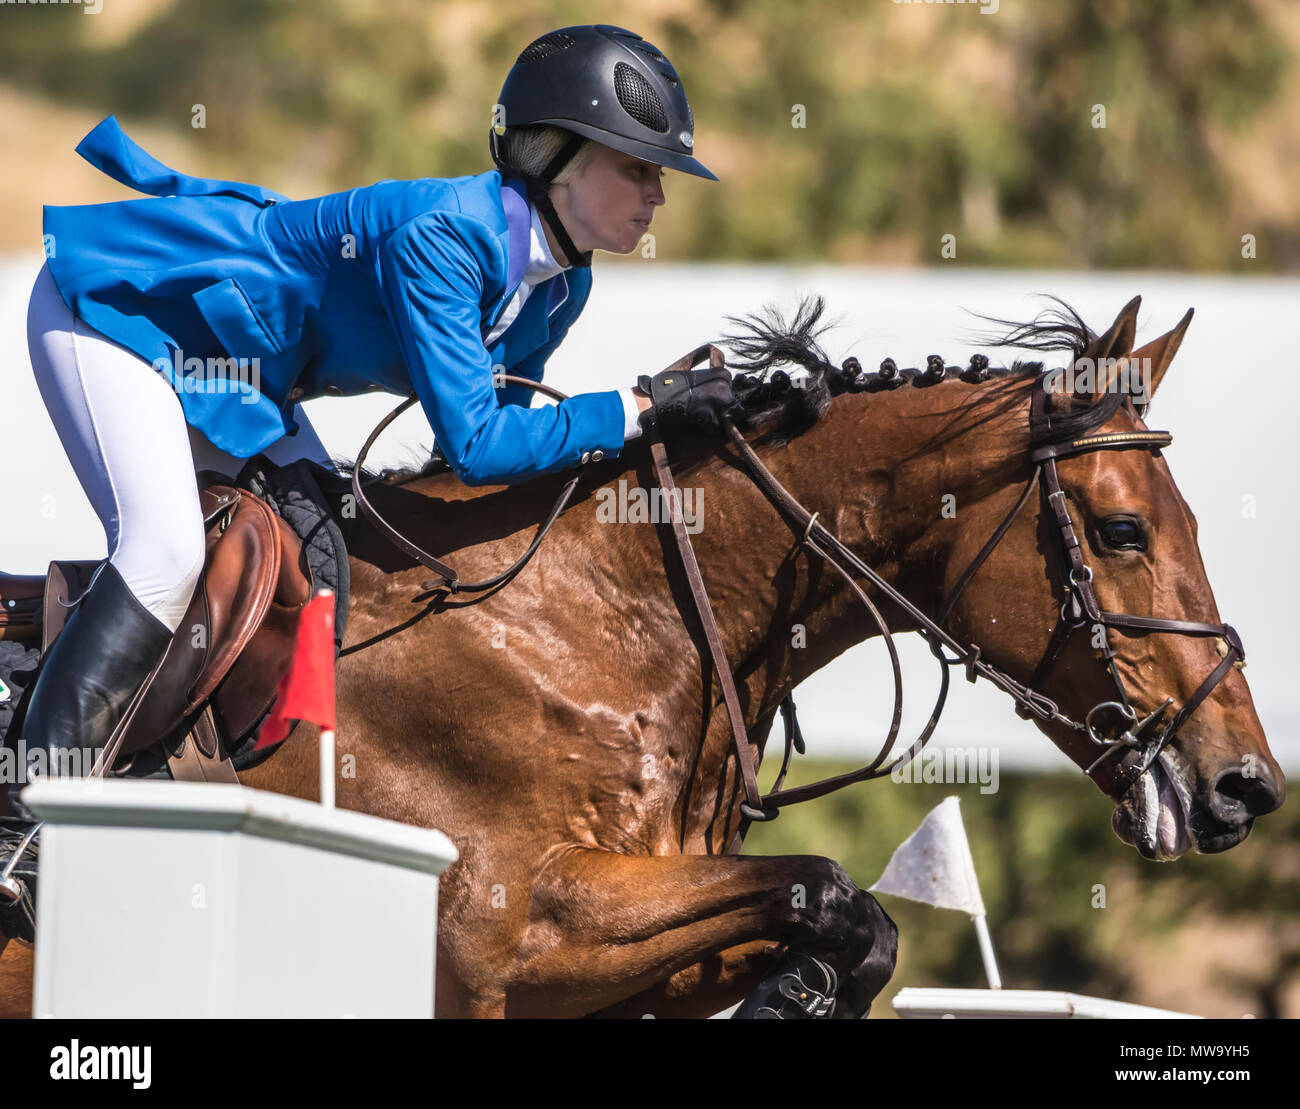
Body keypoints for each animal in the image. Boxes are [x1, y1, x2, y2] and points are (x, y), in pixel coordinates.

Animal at [0, 293, 1284, 1018]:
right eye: (1122, 532)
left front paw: (801, 989)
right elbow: (825, 885)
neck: (603, 615)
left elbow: (851, 920)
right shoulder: (521, 928)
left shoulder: (626, 958)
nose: (1244, 786)